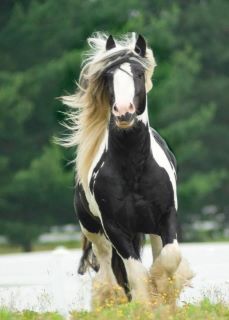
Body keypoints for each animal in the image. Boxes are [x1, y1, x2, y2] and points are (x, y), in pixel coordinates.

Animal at [61, 31, 193, 308]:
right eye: (108, 76)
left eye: (139, 73)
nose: (124, 112)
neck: (133, 169)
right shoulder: (115, 228)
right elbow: (136, 274)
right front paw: (146, 303)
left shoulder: (166, 215)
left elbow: (169, 258)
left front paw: (165, 292)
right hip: (95, 232)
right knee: (108, 274)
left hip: (151, 230)